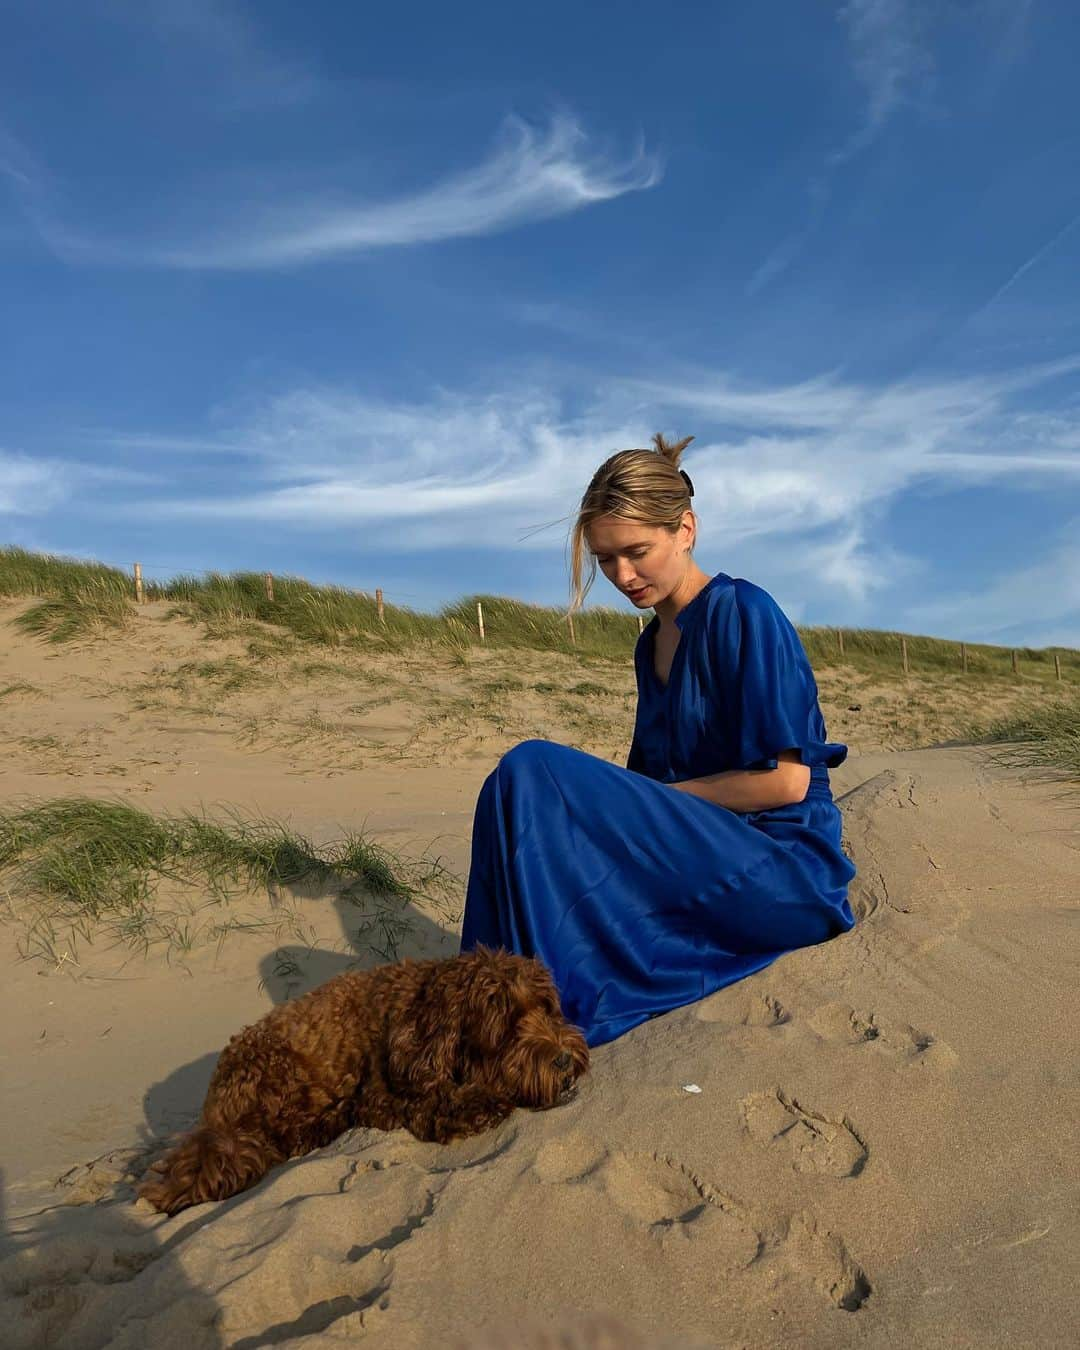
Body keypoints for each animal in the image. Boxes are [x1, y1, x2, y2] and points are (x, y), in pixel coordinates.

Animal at [139, 945, 591, 1220]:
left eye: (546, 1008)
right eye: (508, 1028)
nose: (564, 1059)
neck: (424, 1009)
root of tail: (213, 1112)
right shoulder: (382, 1093)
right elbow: (428, 1102)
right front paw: (475, 1105)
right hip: (274, 1072)